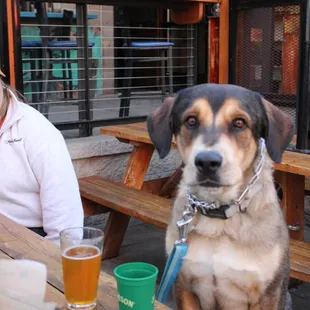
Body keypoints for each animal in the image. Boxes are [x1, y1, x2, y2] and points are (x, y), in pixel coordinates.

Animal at [147, 84, 294, 310]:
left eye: (239, 123)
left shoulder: (270, 293)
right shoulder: (184, 285)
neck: (218, 214)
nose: (207, 162)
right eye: (191, 120)